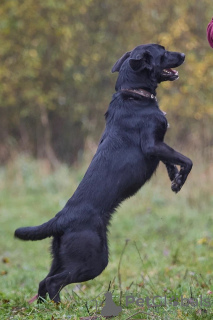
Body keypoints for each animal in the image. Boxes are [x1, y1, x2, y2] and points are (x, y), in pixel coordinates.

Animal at [14, 43, 192, 302]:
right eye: (163, 51)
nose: (184, 55)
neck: (134, 95)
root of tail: (60, 220)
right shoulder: (152, 144)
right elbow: (186, 160)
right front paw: (180, 180)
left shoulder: (159, 147)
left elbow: (171, 160)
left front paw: (174, 177)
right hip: (93, 259)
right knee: (52, 282)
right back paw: (60, 306)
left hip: (62, 257)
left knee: (43, 282)